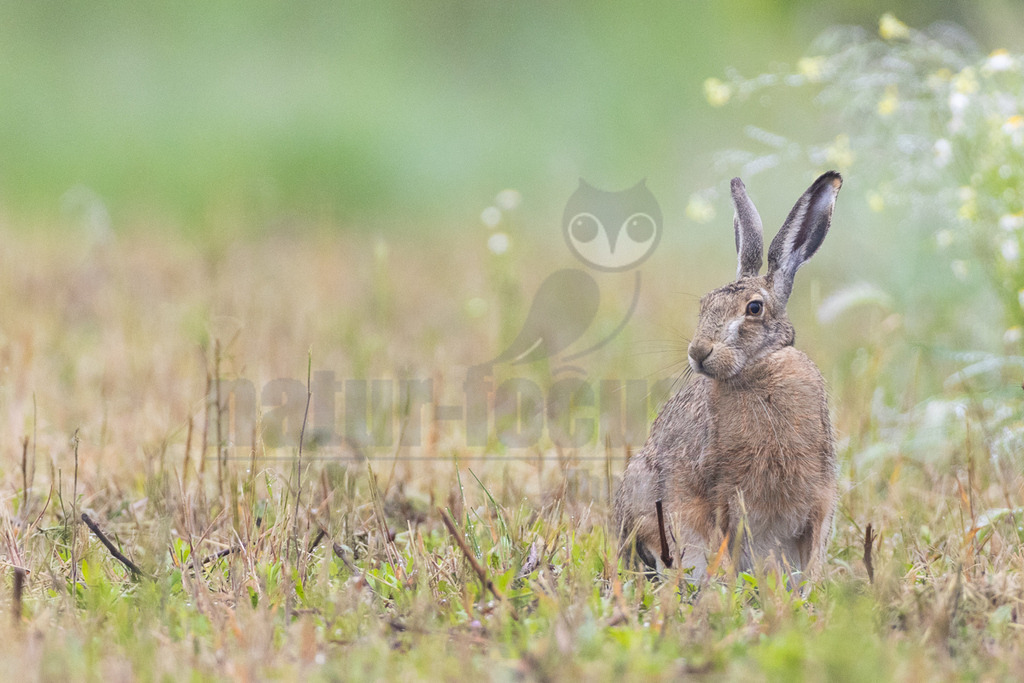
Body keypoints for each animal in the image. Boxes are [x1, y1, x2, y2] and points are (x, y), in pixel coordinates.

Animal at [614, 171, 842, 584]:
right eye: (704, 305)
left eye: (754, 308)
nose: (698, 352)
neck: (756, 370)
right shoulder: (718, 491)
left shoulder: (820, 496)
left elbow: (814, 549)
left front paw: (810, 588)